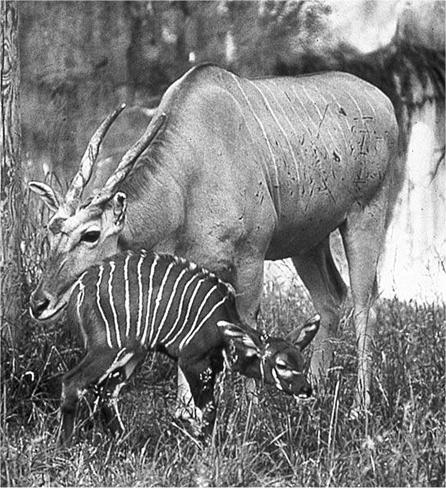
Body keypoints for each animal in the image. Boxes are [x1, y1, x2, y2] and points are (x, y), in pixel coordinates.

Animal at [28, 63, 398, 416]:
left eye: (90, 235)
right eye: (51, 229)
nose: (39, 302)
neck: (186, 183)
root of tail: (387, 104)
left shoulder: (251, 257)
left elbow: (249, 326)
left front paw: (250, 413)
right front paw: (187, 414)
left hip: (366, 214)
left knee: (365, 304)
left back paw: (359, 406)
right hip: (309, 240)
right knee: (331, 298)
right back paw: (312, 393)